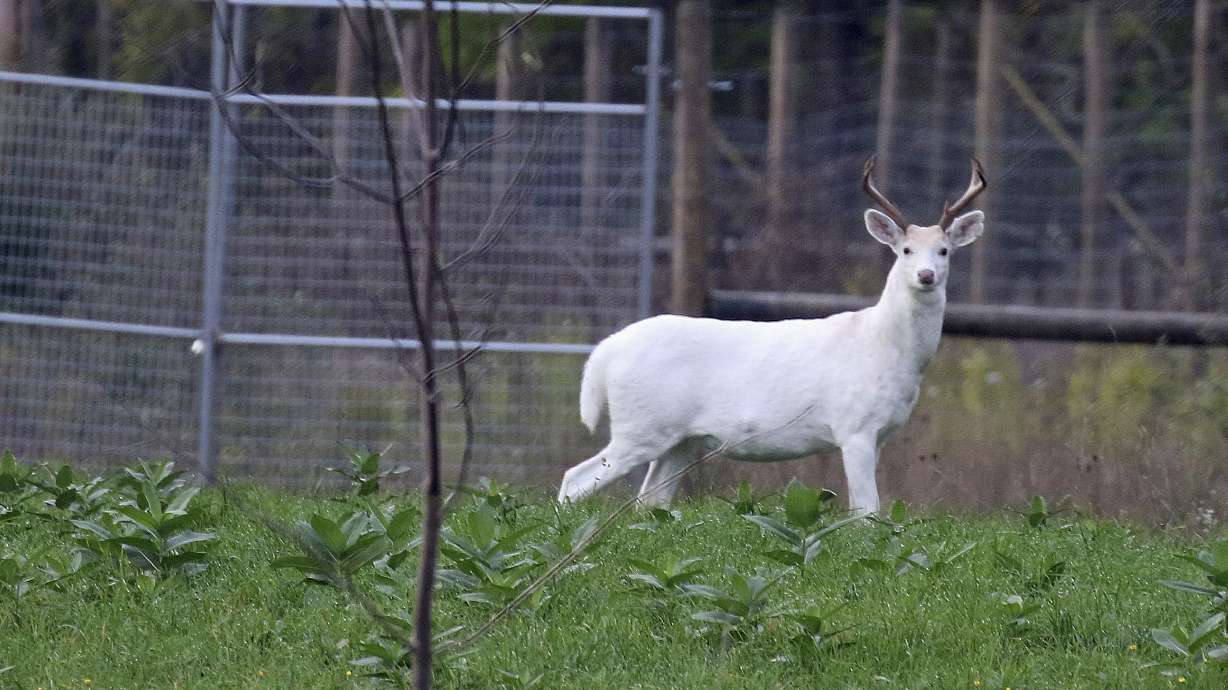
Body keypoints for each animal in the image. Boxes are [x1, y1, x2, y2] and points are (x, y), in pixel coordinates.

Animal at [557, 158, 987, 515]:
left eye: (944, 250)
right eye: (906, 250)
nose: (926, 276)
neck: (884, 346)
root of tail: (606, 351)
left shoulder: (881, 434)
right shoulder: (854, 427)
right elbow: (866, 512)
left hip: (679, 439)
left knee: (650, 500)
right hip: (641, 425)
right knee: (576, 479)